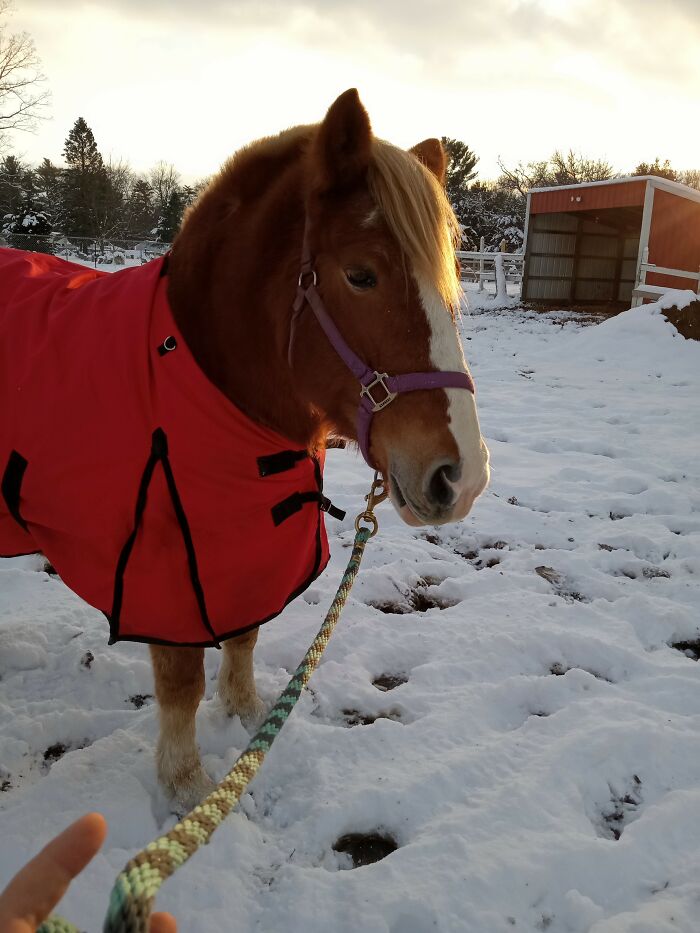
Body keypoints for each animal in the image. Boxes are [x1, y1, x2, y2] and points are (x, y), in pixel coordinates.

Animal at [0, 89, 489, 809]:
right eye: (361, 275)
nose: (463, 477)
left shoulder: (251, 550)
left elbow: (246, 636)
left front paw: (249, 715)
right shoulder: (166, 571)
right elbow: (182, 682)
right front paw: (187, 787)